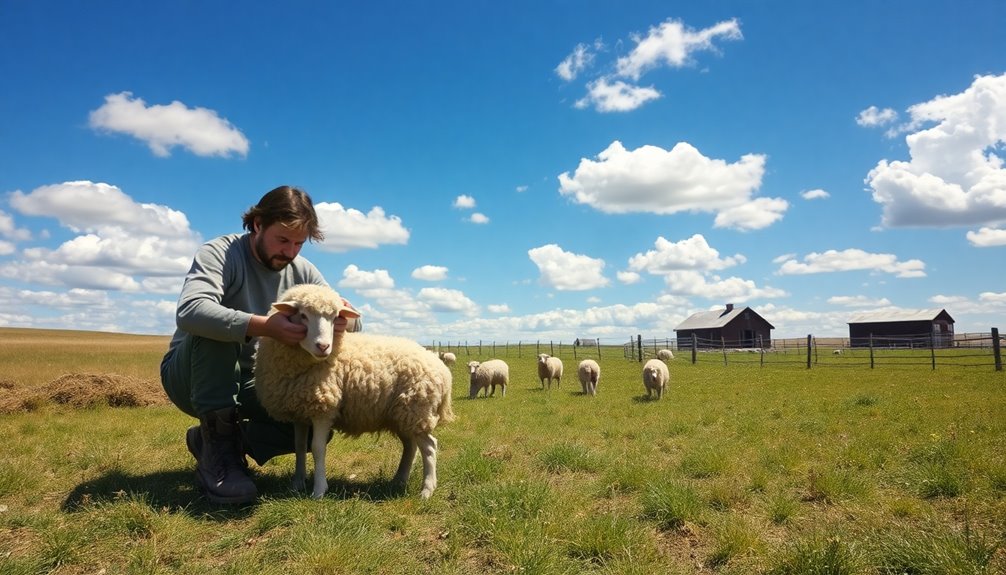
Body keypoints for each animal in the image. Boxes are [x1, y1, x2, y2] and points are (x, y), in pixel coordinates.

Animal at [253, 285, 454, 500]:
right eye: (303, 315)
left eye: (335, 318)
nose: (323, 346)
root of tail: (441, 367)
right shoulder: (299, 410)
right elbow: (299, 447)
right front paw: (297, 483)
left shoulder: (324, 407)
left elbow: (317, 448)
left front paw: (319, 490)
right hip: (402, 412)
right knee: (411, 446)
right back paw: (399, 480)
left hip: (417, 408)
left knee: (430, 447)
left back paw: (427, 490)